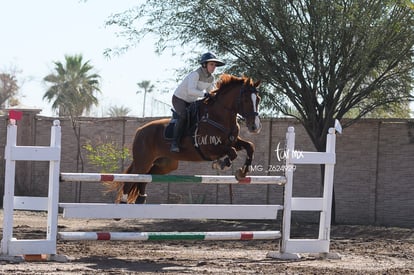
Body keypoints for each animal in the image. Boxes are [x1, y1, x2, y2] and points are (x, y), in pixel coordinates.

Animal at [112, 74, 262, 204]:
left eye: (258, 99)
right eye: (246, 100)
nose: (255, 127)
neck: (218, 116)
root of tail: (139, 130)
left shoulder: (233, 141)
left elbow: (250, 146)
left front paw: (241, 173)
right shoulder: (209, 148)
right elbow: (232, 152)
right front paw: (222, 163)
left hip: (166, 164)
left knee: (146, 176)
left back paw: (141, 198)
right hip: (143, 161)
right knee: (131, 179)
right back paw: (123, 204)